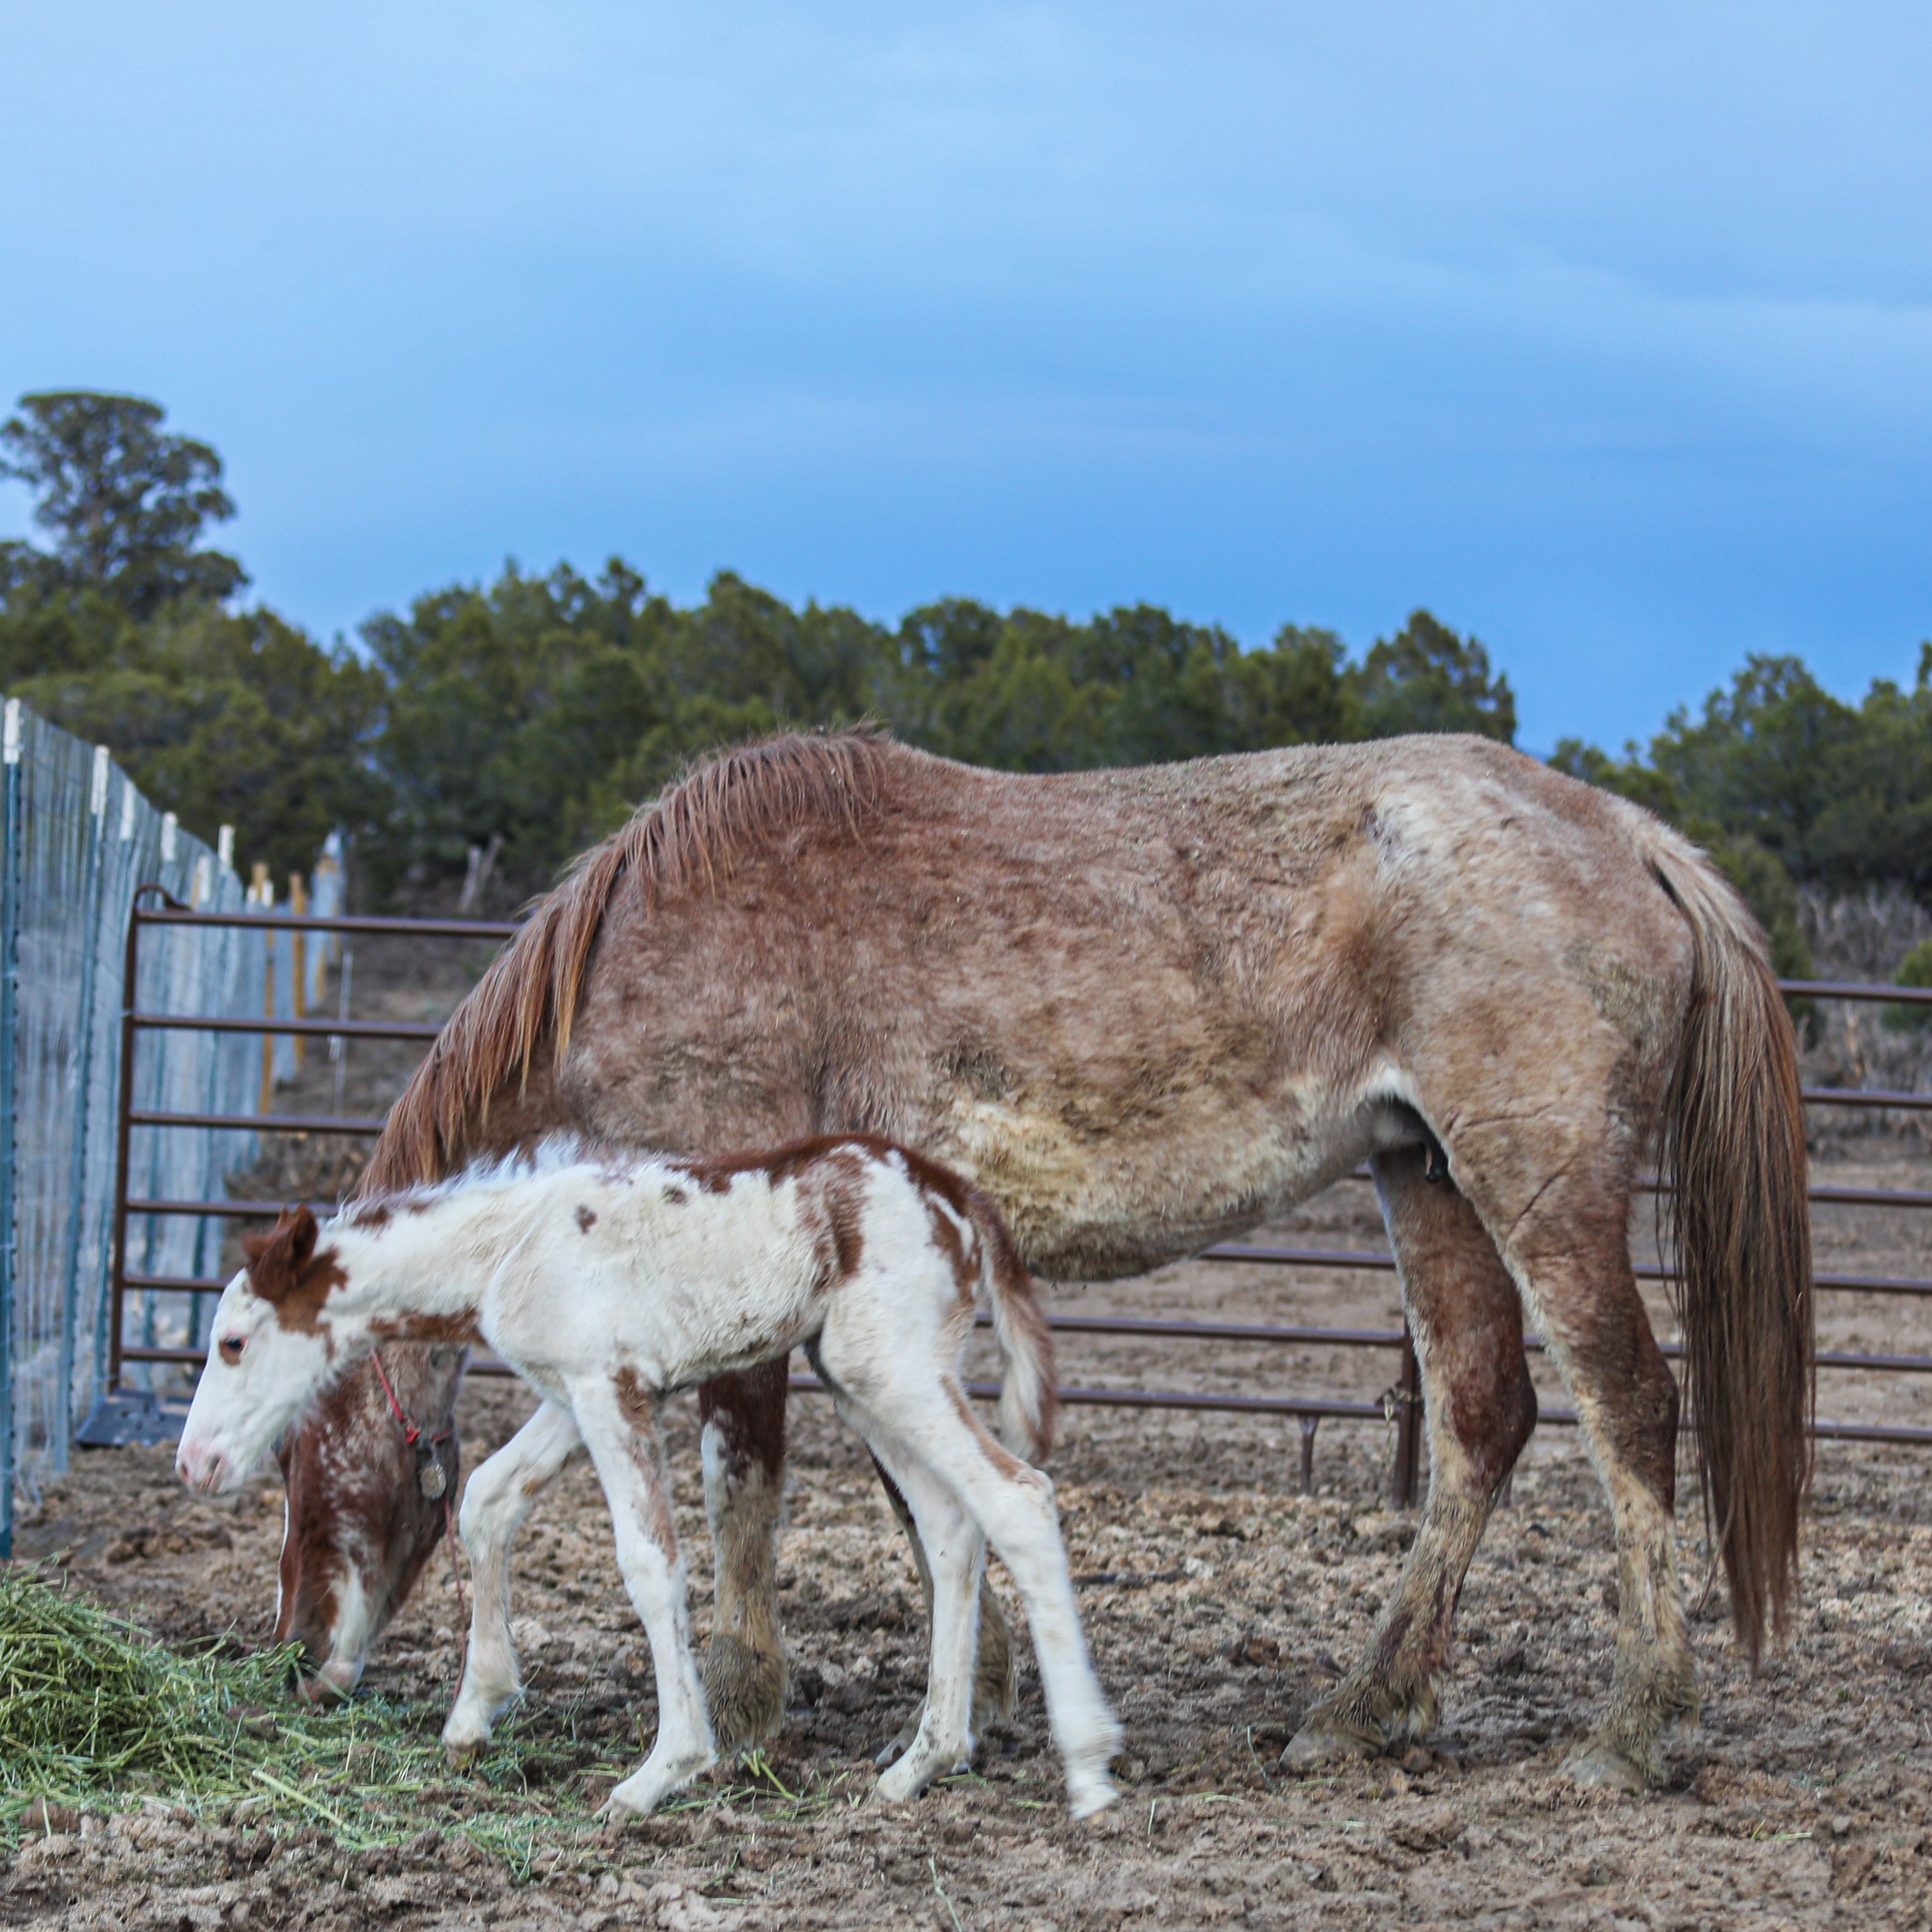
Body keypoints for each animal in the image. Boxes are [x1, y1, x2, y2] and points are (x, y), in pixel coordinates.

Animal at [181, 1128, 1128, 1808]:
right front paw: (475, 1711)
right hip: (860, 1381)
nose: (195, 1463)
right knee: (951, 1524)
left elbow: (648, 1560)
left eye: (234, 1342)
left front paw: (664, 1768)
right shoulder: (569, 1394)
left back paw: (1087, 1769)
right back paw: (921, 1763)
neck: (508, 1243)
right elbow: (486, 1498)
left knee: (1016, 1495)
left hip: (894, 1371)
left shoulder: (611, 1389)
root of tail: (957, 1197)